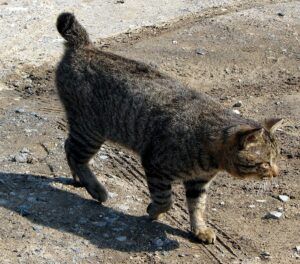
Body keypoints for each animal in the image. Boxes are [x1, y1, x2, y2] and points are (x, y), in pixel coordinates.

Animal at [55, 12, 282, 243]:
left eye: (277, 158)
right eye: (265, 163)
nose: (277, 173)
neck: (212, 158)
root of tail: (84, 45)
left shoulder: (198, 183)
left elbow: (197, 207)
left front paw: (200, 229)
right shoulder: (155, 165)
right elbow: (166, 200)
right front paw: (154, 211)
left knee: (69, 147)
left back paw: (79, 181)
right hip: (90, 130)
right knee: (73, 152)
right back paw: (95, 189)